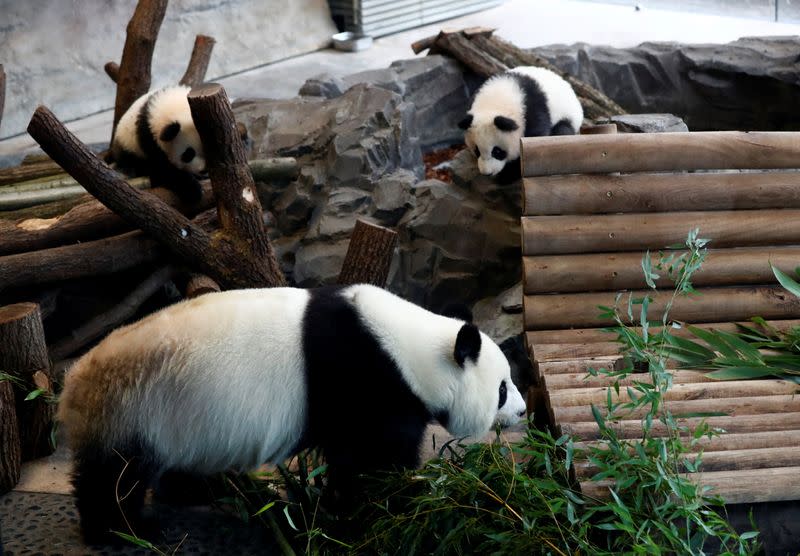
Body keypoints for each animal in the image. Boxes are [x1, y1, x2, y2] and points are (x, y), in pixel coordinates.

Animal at [57, 284, 532, 544]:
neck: (410, 349)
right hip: (132, 408)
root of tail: (73, 383)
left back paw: (203, 492)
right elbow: (372, 460)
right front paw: (389, 506)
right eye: (502, 388)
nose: (524, 411)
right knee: (114, 477)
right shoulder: (365, 379)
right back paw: (122, 530)